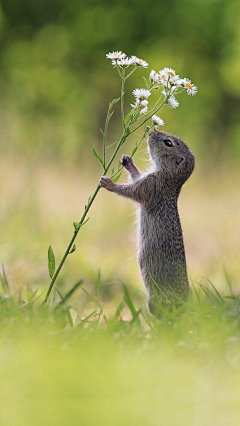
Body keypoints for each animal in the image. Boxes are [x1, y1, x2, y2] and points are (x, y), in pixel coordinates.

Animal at [99, 130, 195, 316]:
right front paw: (128, 161)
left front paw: (109, 183)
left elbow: (130, 191)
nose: (151, 131)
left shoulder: (150, 186)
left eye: (168, 143)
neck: (170, 177)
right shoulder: (146, 179)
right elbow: (136, 176)